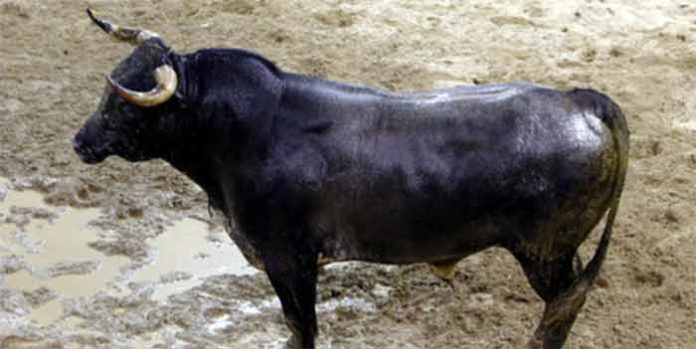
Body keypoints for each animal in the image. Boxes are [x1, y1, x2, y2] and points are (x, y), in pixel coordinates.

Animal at [72, 10, 632, 348]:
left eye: (124, 102)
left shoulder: (289, 259)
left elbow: (302, 326)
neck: (243, 133)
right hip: (559, 251)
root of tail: (580, 99)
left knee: (563, 306)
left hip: (544, 251)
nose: (80, 141)